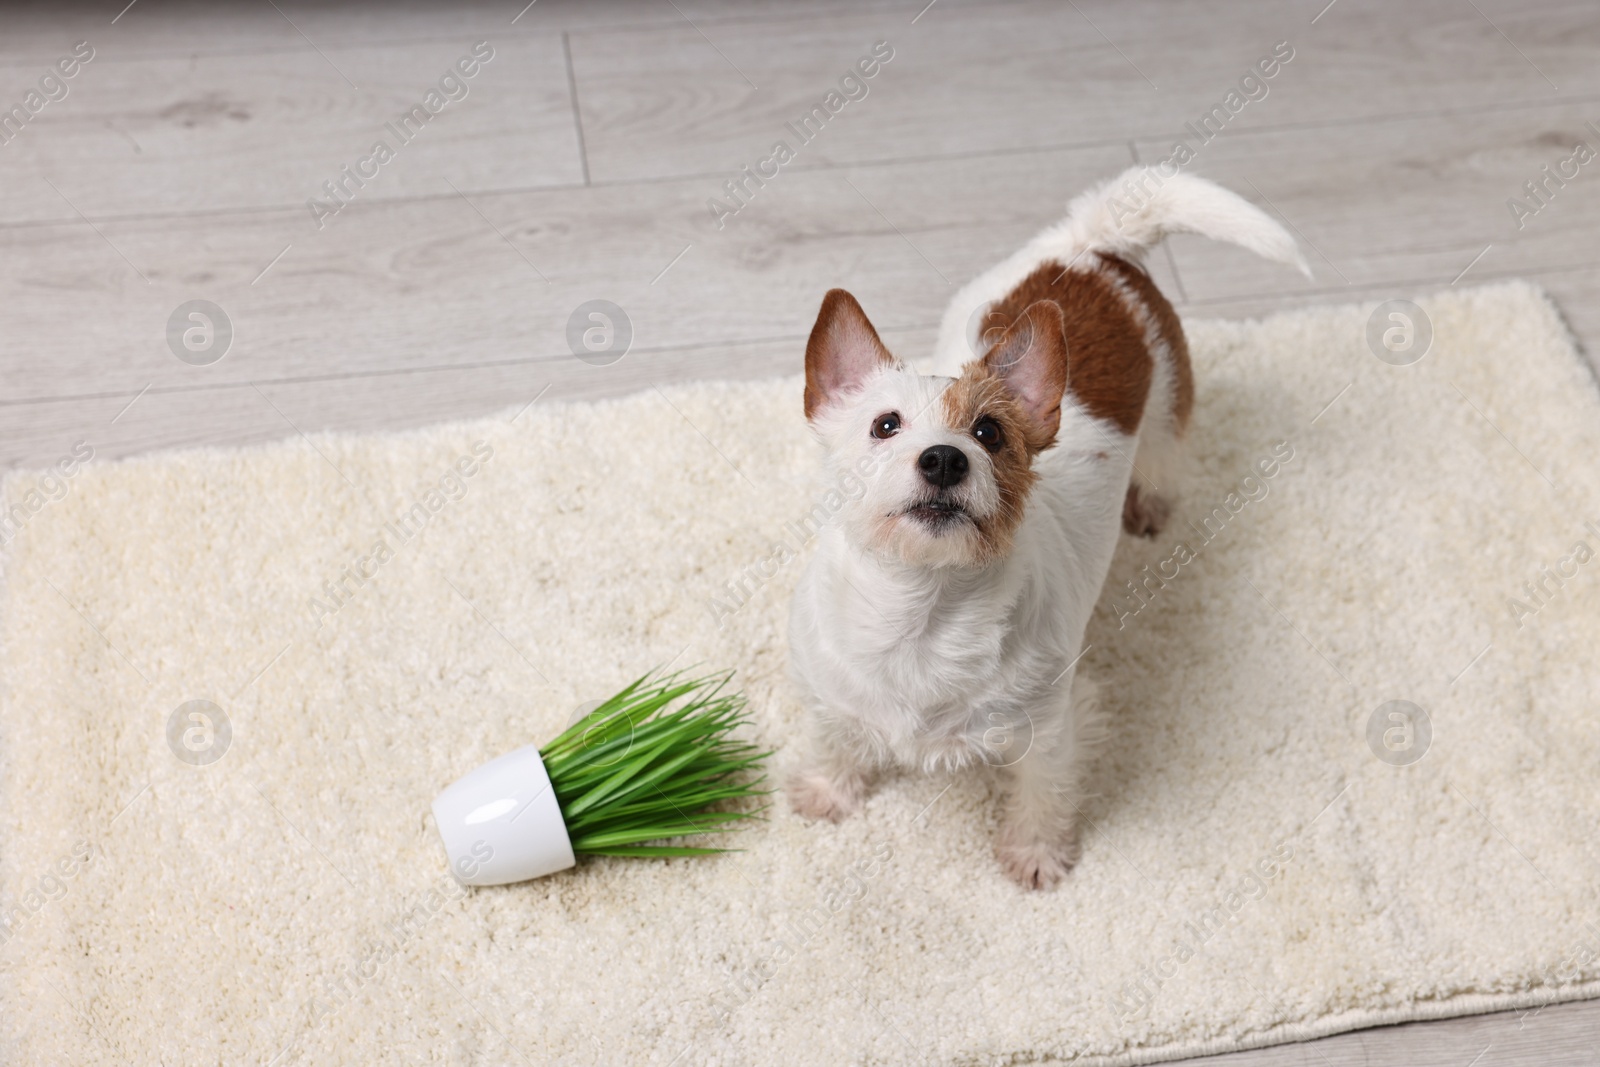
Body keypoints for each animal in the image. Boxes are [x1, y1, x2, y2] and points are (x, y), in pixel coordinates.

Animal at [780, 164, 1305, 883]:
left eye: (989, 432)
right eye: (885, 424)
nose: (944, 457)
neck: (922, 612)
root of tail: (1089, 248)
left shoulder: (1050, 726)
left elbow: (1044, 789)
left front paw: (1035, 852)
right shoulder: (828, 690)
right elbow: (834, 736)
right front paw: (827, 790)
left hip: (1168, 409)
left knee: (1166, 457)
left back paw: (1151, 506)